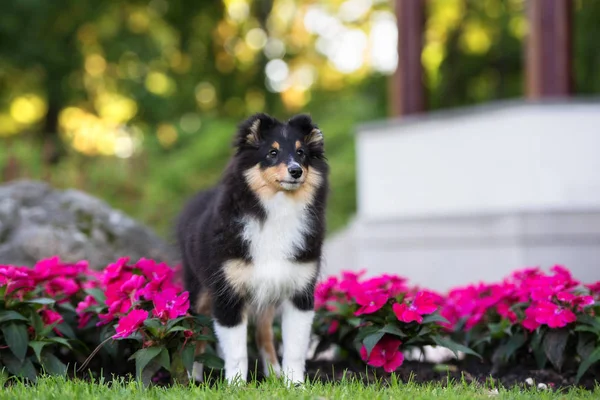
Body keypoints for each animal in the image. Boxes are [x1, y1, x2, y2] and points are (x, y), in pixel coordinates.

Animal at [176, 111, 328, 384]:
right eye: (272, 153)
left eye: (301, 152)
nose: (296, 171)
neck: (278, 209)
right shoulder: (228, 292)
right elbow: (236, 350)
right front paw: (236, 386)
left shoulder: (300, 291)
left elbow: (295, 347)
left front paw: (294, 384)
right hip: (198, 290)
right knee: (196, 335)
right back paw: (194, 377)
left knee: (263, 333)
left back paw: (274, 374)